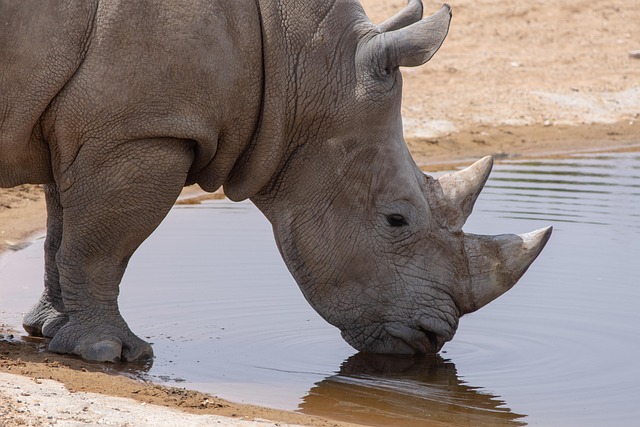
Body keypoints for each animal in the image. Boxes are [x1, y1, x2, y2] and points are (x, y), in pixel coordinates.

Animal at [0, 0, 551, 362]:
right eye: (396, 220)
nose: (434, 337)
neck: (299, 62)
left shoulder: (89, 127)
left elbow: (61, 230)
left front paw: (48, 330)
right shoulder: (143, 128)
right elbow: (103, 245)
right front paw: (111, 353)